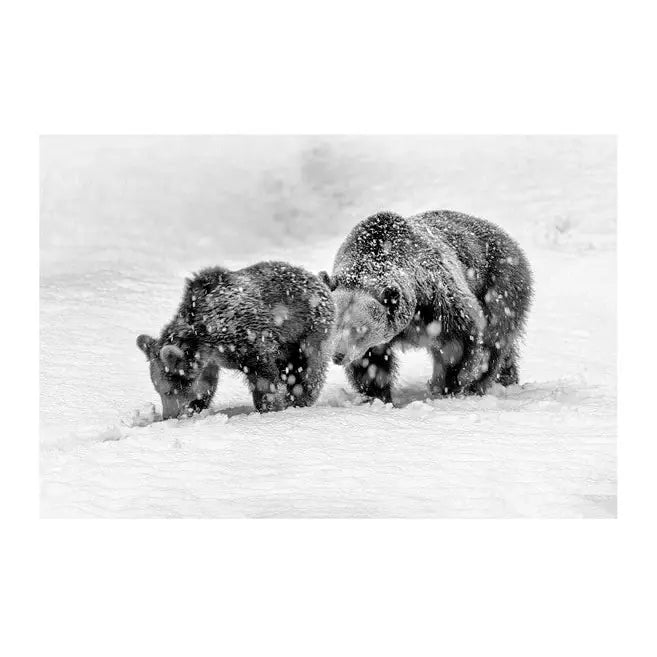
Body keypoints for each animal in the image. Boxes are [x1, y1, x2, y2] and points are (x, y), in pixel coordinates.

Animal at [137, 261, 335, 419]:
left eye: (168, 390)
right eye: (158, 389)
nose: (167, 416)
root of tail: (319, 280)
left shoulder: (250, 340)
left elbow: (264, 379)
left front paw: (268, 409)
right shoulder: (211, 360)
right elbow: (206, 385)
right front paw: (196, 407)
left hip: (307, 332)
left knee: (306, 370)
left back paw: (299, 400)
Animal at [319, 210, 533, 403]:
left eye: (360, 329)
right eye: (336, 326)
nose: (338, 355)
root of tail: (503, 234)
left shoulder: (438, 301)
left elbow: (456, 347)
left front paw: (447, 387)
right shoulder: (375, 341)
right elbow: (371, 363)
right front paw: (377, 396)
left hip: (498, 286)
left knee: (494, 339)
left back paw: (480, 384)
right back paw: (507, 378)